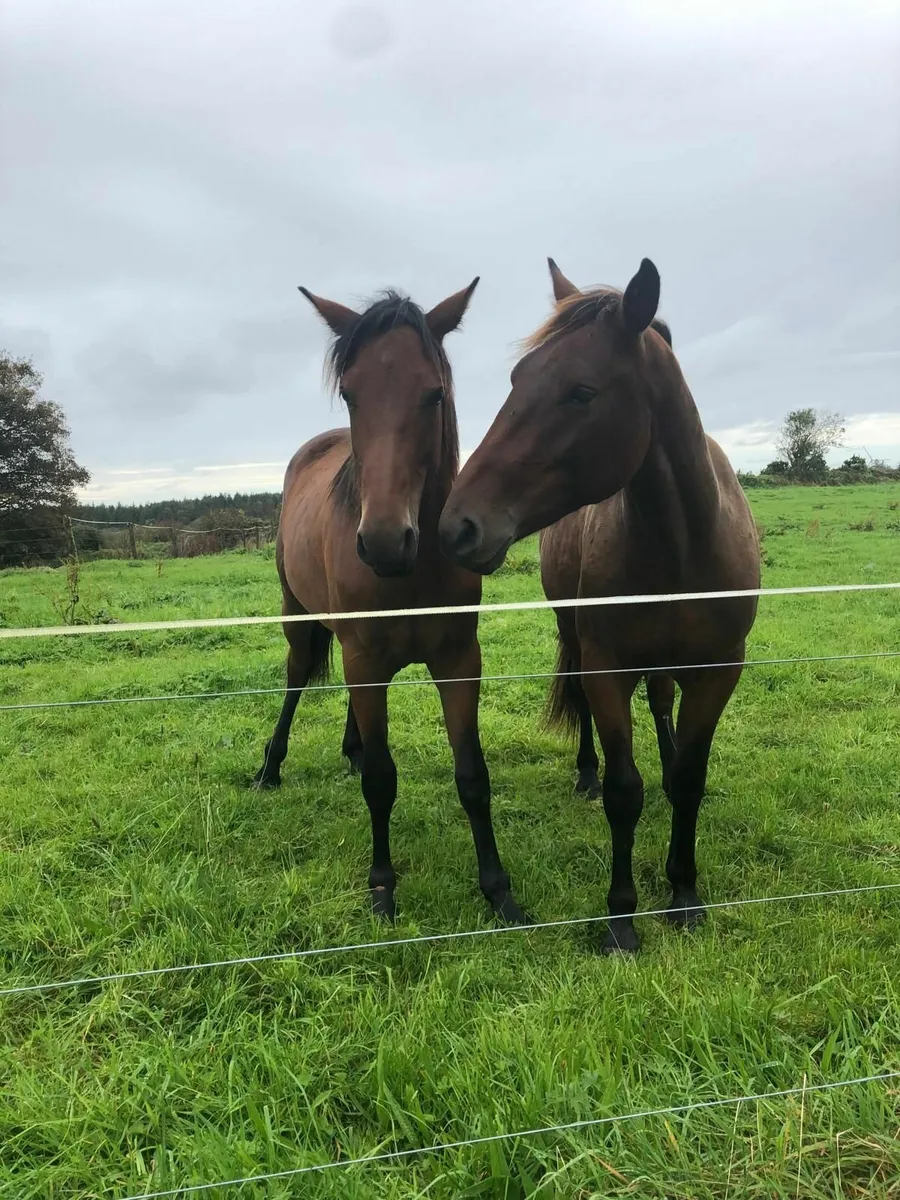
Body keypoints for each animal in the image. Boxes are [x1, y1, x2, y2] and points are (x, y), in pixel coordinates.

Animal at [254, 281, 528, 927]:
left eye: (434, 393)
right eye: (350, 393)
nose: (383, 541)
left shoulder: (459, 662)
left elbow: (472, 775)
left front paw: (497, 887)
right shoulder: (365, 661)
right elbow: (381, 781)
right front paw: (382, 885)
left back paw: (349, 748)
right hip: (299, 620)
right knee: (296, 679)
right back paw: (271, 767)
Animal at [439, 257, 760, 953]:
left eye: (580, 392)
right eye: (517, 379)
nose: (456, 526)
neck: (682, 544)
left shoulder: (720, 670)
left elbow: (688, 780)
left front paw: (684, 893)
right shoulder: (606, 665)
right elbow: (622, 790)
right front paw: (621, 918)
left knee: (663, 703)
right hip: (575, 635)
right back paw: (585, 775)